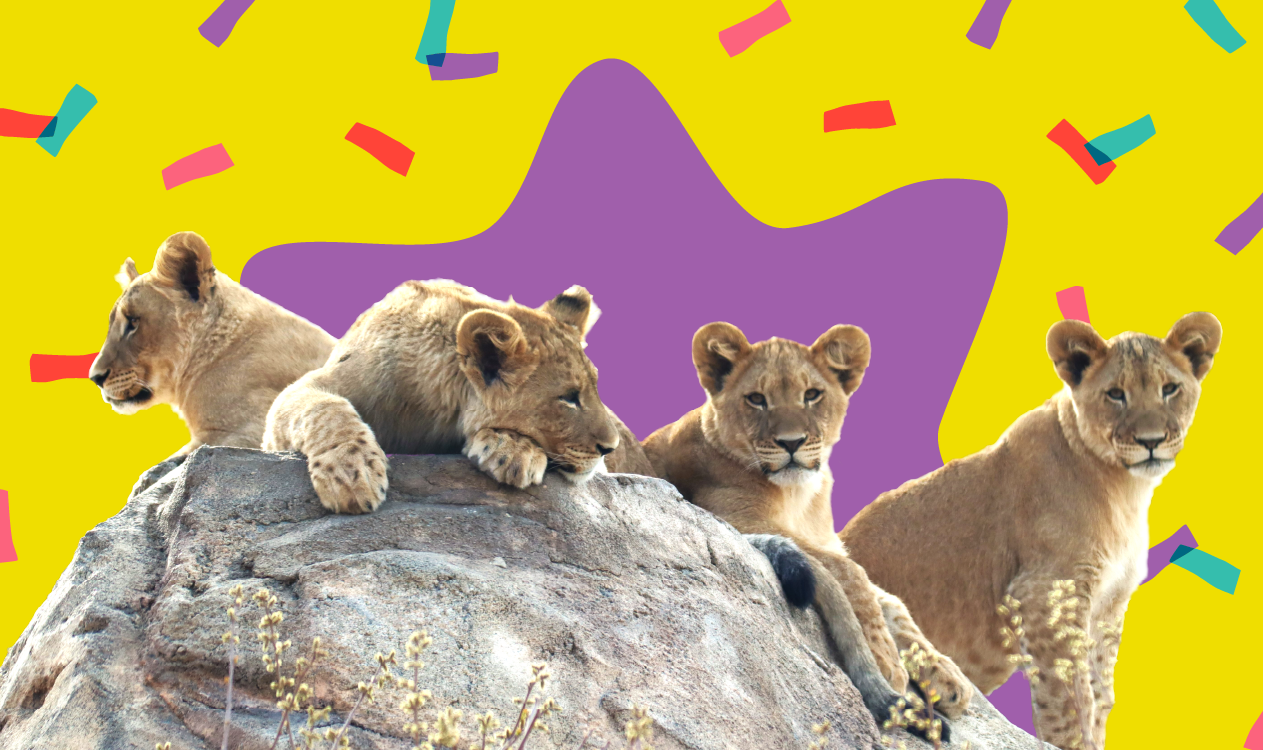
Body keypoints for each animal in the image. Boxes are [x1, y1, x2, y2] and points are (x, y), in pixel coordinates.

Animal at [263, 280, 654, 514]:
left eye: (596, 390)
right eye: (569, 397)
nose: (610, 449)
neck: (427, 407)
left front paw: (514, 451)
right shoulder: (302, 396)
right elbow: (324, 408)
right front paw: (351, 475)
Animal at [642, 322, 973, 734]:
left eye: (812, 395)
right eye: (756, 399)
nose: (791, 443)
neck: (801, 495)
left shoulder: (827, 540)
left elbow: (892, 602)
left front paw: (947, 676)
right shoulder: (731, 517)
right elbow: (854, 573)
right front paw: (887, 664)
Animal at [840, 312, 1222, 749]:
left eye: (1170, 389)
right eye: (1115, 395)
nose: (1151, 441)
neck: (1124, 489)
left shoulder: (1109, 603)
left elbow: (1100, 695)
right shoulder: (1043, 592)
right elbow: (1070, 697)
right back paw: (944, 683)